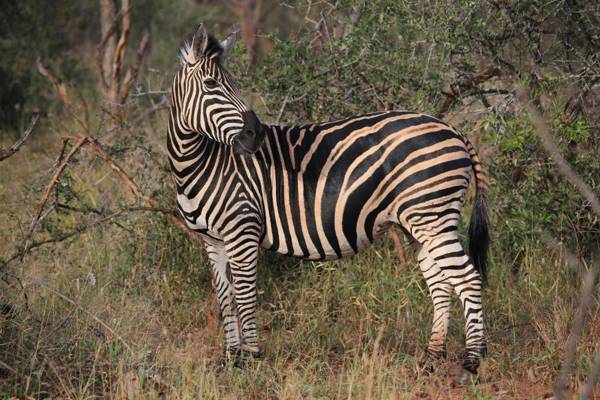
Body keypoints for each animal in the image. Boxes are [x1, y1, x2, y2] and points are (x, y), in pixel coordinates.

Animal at [166, 25, 490, 378]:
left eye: (233, 83)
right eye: (212, 85)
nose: (256, 135)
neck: (201, 163)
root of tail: (454, 130)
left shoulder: (243, 229)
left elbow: (245, 294)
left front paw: (249, 358)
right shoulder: (213, 240)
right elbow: (226, 298)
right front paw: (229, 358)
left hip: (433, 217)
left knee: (468, 279)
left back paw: (471, 363)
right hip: (420, 223)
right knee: (441, 283)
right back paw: (431, 357)